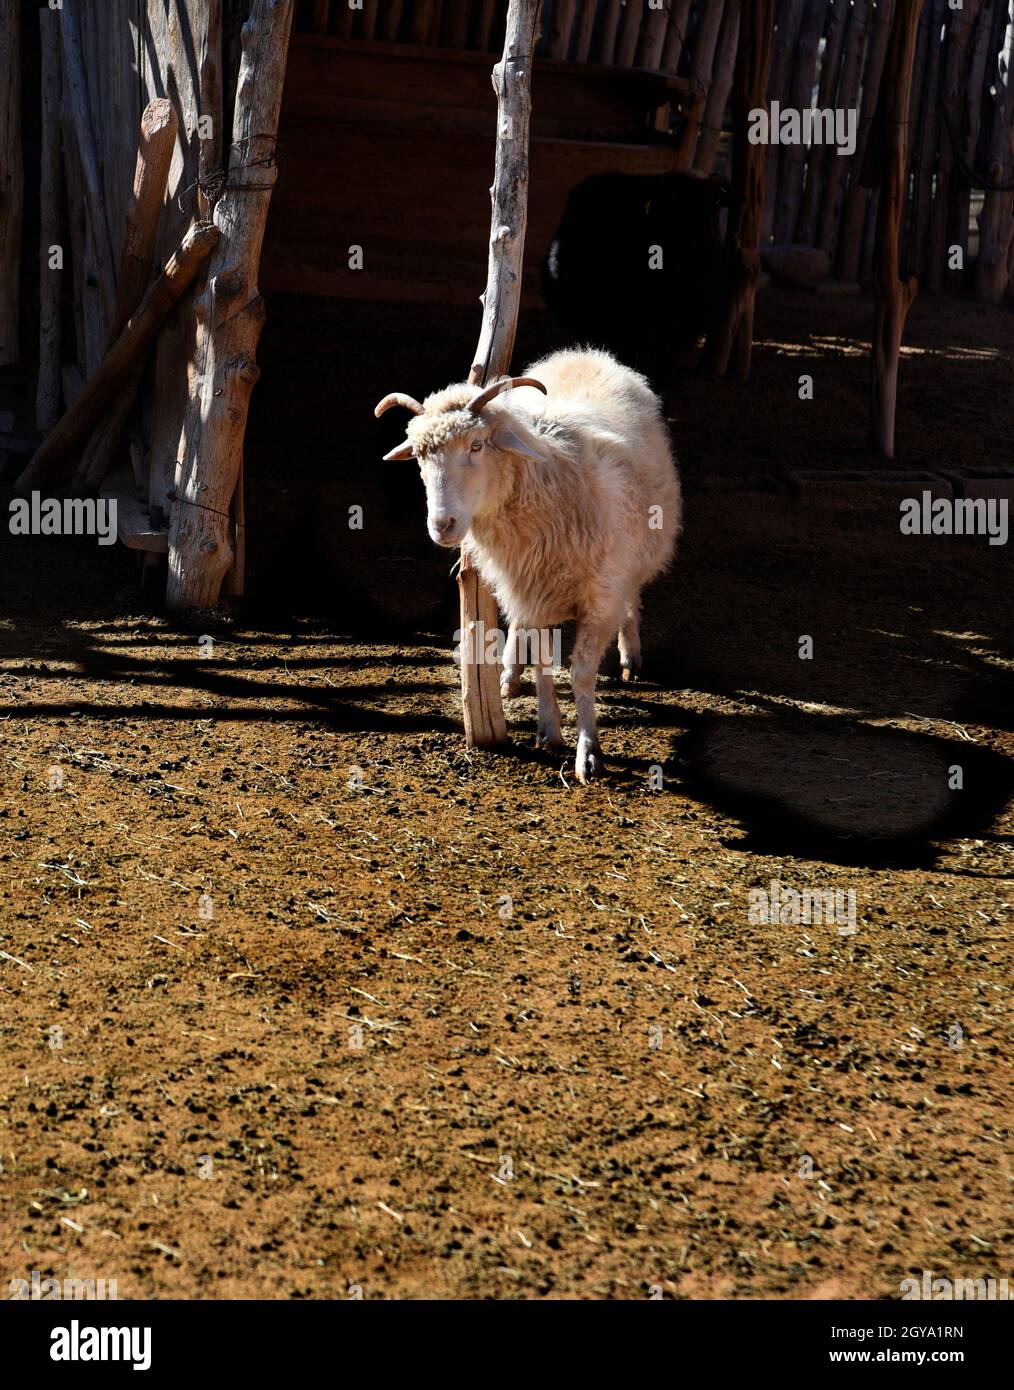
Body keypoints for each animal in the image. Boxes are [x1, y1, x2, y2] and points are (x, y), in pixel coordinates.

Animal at [375, 347, 682, 783]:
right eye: (418, 455)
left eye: (477, 445)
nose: (441, 525)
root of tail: (585, 354)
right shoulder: (532, 587)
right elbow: (542, 663)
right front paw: (549, 728)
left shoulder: (600, 595)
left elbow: (581, 672)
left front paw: (588, 751)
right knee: (518, 624)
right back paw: (507, 674)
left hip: (637, 552)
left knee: (632, 598)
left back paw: (630, 654)